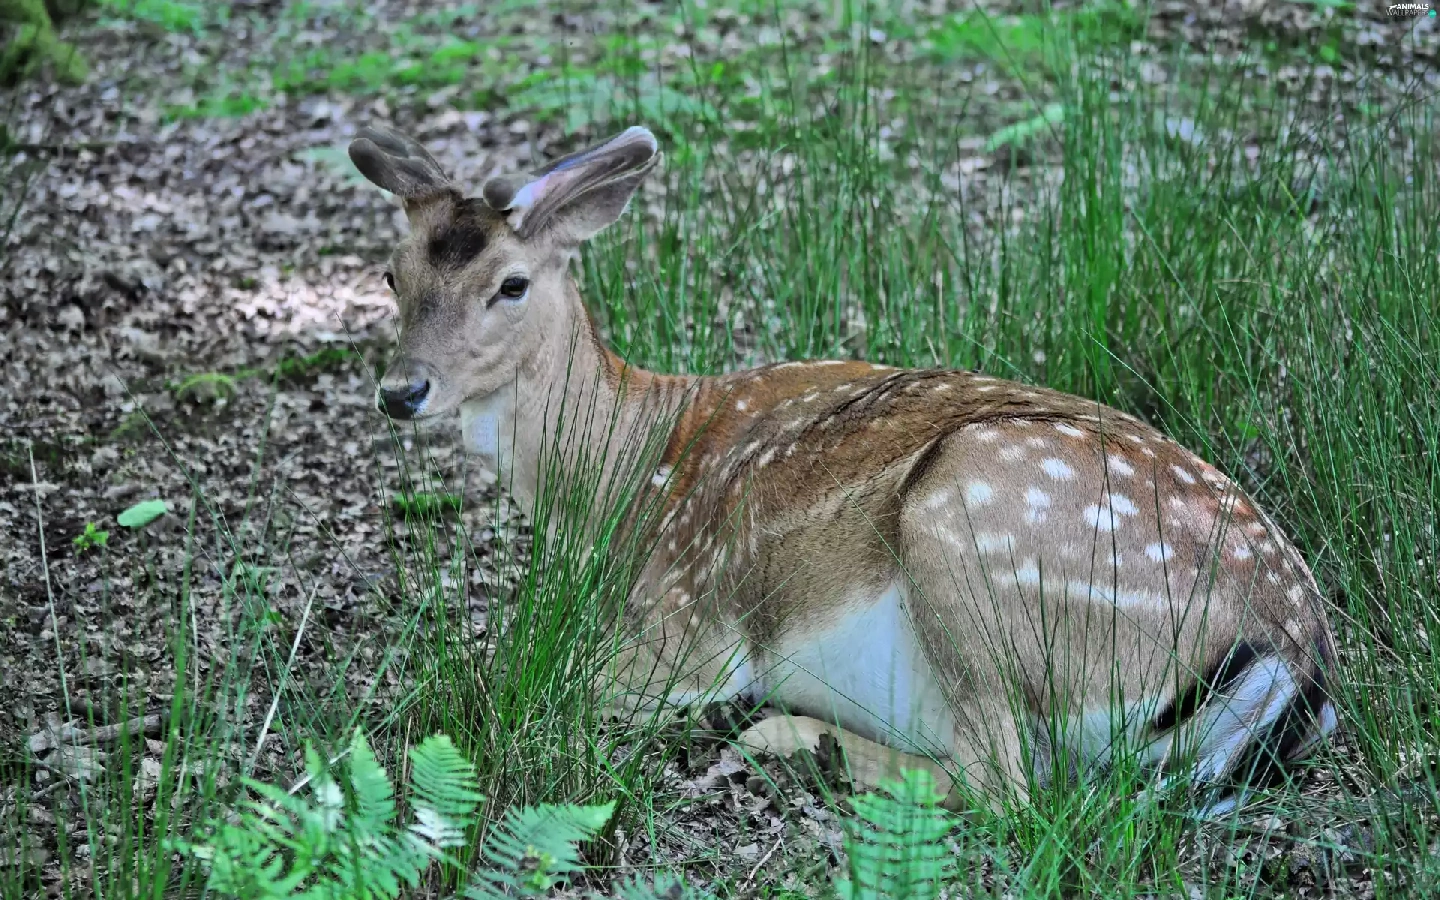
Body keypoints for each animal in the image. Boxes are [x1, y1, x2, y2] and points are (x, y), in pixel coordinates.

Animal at [348, 123, 1338, 818]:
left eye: (511, 284)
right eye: (391, 275)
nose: (401, 390)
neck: (621, 477)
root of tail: (1292, 661)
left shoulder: (687, 628)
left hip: (966, 521)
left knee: (1005, 786)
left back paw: (792, 737)